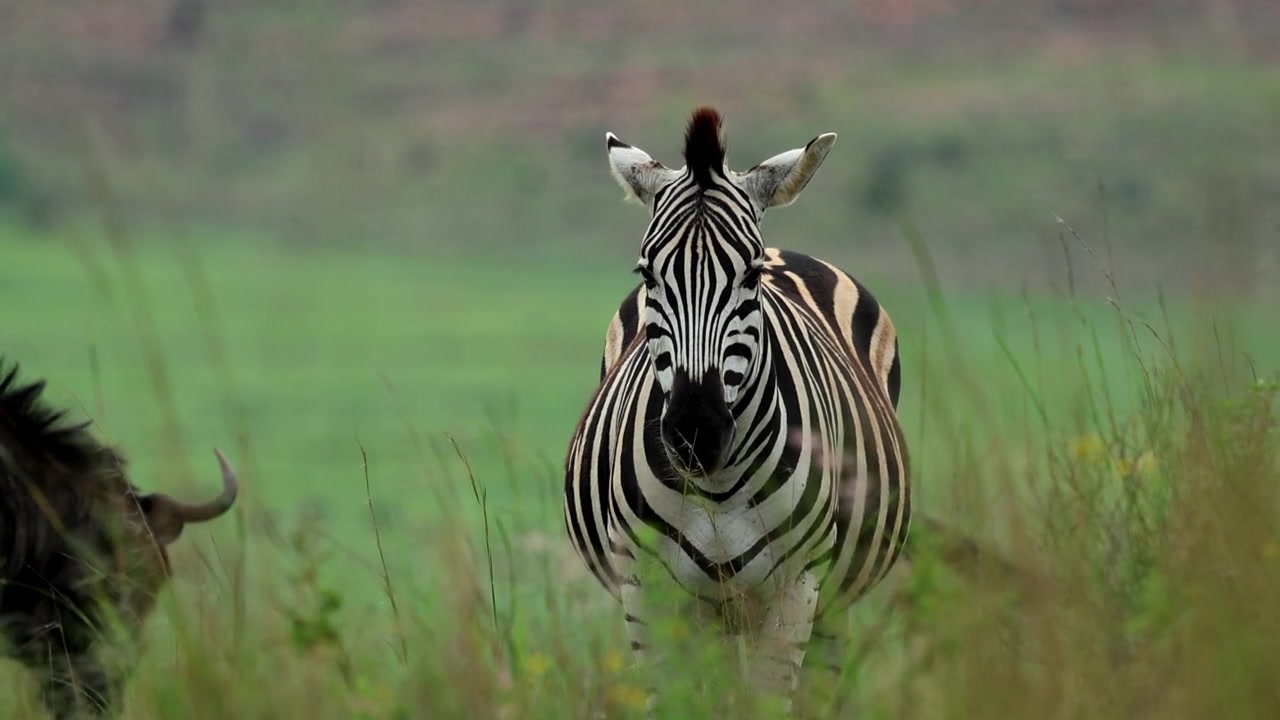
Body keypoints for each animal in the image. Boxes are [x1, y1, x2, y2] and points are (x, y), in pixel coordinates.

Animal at [562, 106, 912, 713]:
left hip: (826, 604)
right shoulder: (648, 593)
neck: (716, 488)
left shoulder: (797, 589)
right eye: (647, 275)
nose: (694, 433)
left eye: (749, 276)